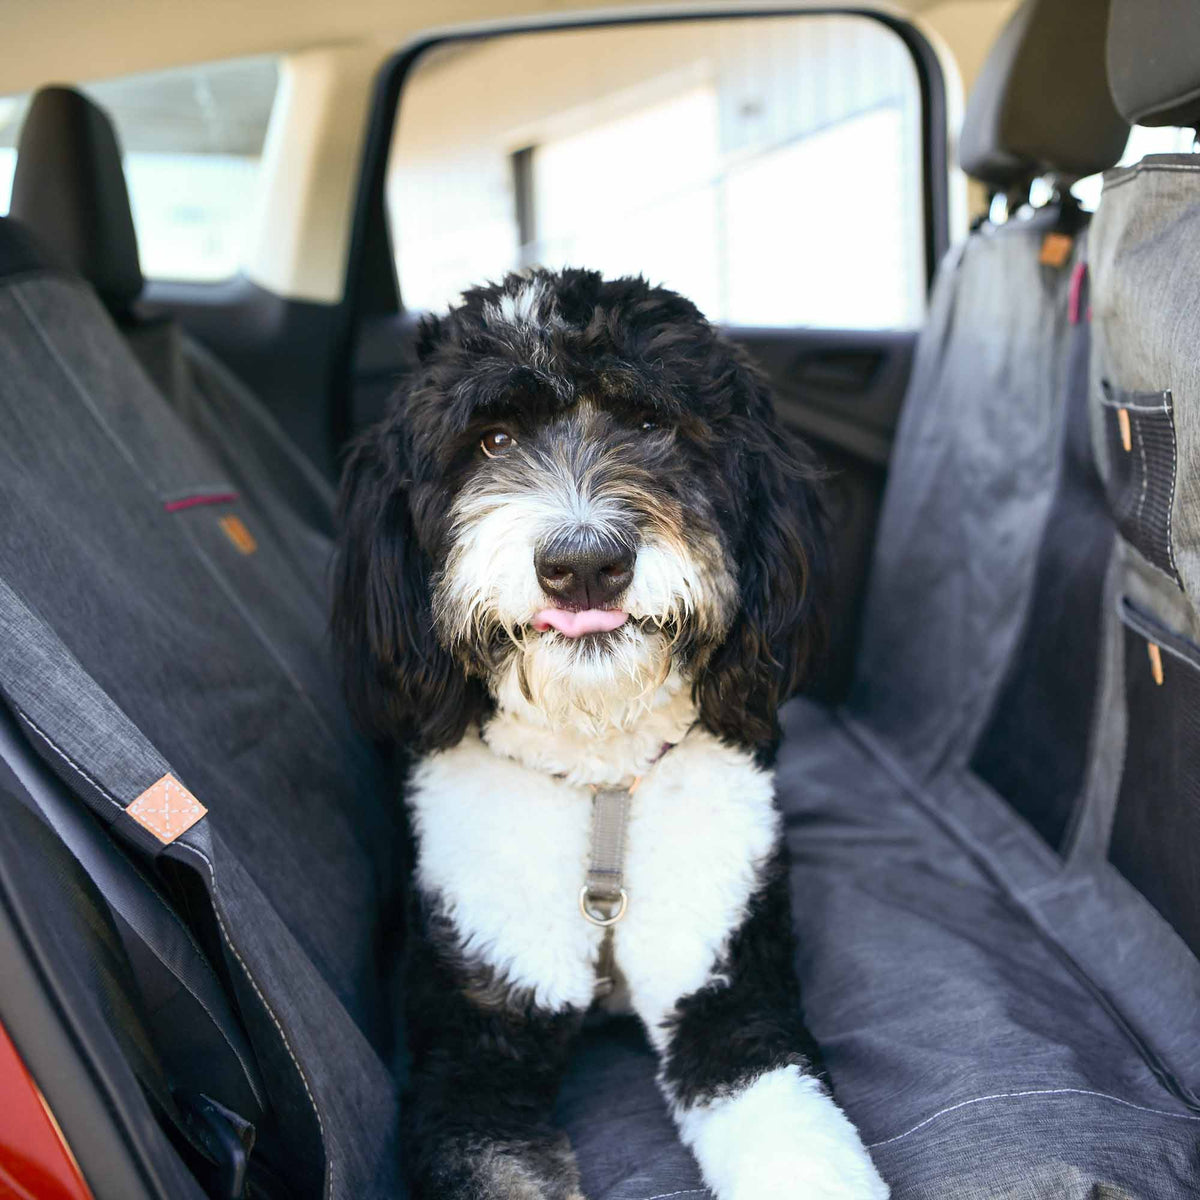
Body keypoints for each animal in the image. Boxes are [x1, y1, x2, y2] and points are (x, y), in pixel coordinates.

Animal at [333, 272, 888, 1200]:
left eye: (651, 424)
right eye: (491, 439)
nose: (585, 562)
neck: (600, 786)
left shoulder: (730, 994)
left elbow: (797, 1140)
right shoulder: (473, 1049)